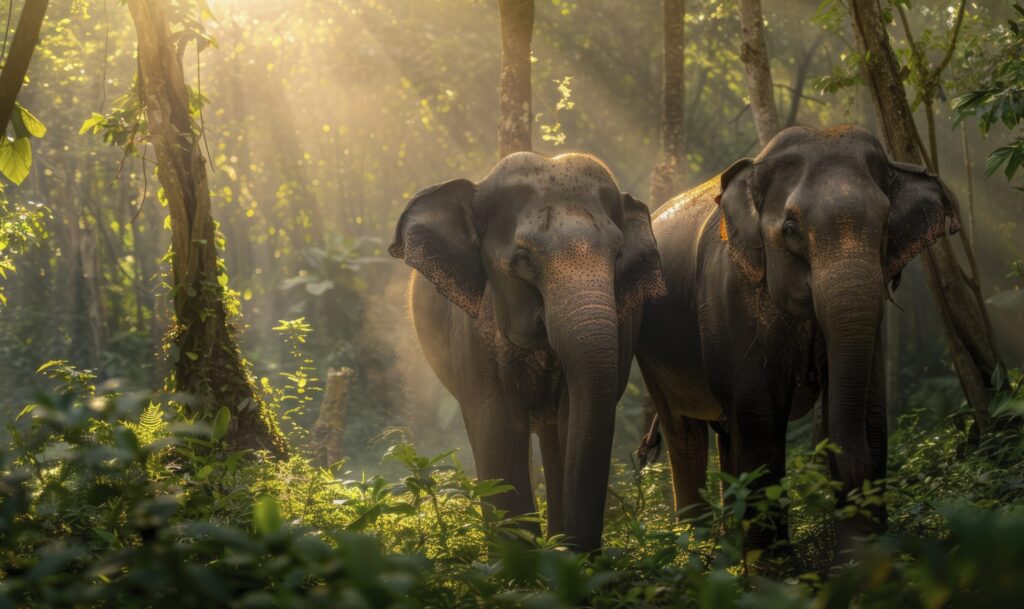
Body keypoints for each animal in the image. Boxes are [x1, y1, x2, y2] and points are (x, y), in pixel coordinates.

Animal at [387, 152, 667, 552]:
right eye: (524, 258)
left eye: (617, 256)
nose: (575, 551)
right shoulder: (473, 335)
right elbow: (497, 427)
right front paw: (523, 560)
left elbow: (576, 419)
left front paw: (561, 555)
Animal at [634, 124, 962, 556]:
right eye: (790, 231)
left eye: (886, 224)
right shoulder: (726, 297)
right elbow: (758, 416)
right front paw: (774, 566)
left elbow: (869, 409)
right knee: (685, 432)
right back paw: (695, 548)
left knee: (724, 433)